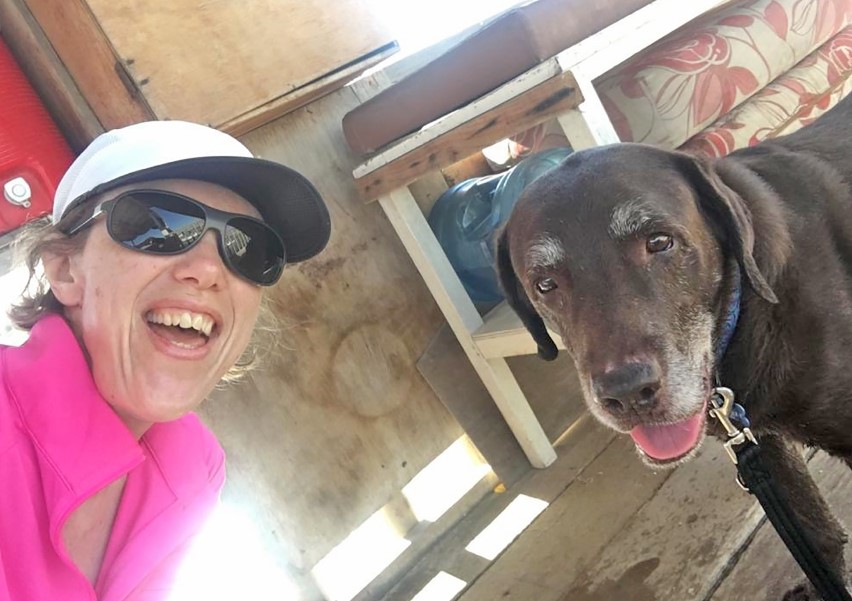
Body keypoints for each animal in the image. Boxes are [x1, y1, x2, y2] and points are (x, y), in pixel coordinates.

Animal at [496, 93, 852, 600]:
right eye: (545, 284)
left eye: (659, 241)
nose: (627, 394)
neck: (745, 311)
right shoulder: (762, 443)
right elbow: (816, 533)